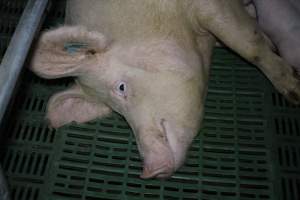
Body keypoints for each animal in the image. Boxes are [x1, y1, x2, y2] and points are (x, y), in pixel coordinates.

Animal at [29, 0, 300, 178]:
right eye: (112, 109)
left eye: (121, 87)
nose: (149, 171)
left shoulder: (210, 6)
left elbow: (248, 45)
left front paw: (294, 92)